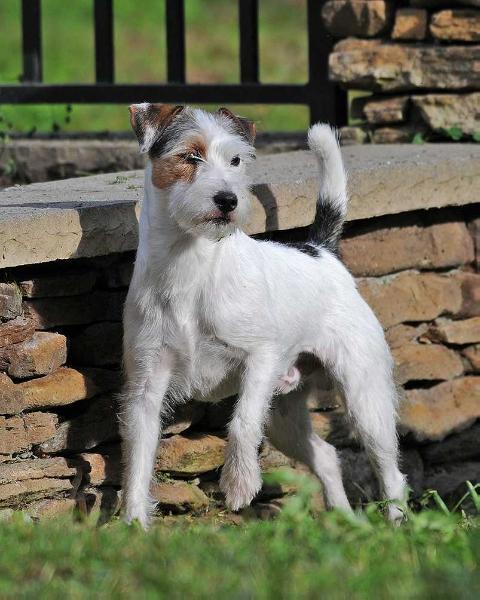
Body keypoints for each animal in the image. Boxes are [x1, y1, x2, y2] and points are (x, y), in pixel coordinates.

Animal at [118, 104, 406, 528]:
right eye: (191, 156)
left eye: (237, 160)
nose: (228, 200)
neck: (190, 266)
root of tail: (322, 251)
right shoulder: (146, 387)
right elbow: (138, 459)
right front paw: (134, 523)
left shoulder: (261, 358)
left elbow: (241, 423)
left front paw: (239, 485)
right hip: (284, 416)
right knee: (326, 456)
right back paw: (344, 521)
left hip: (364, 397)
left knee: (390, 470)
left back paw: (397, 526)